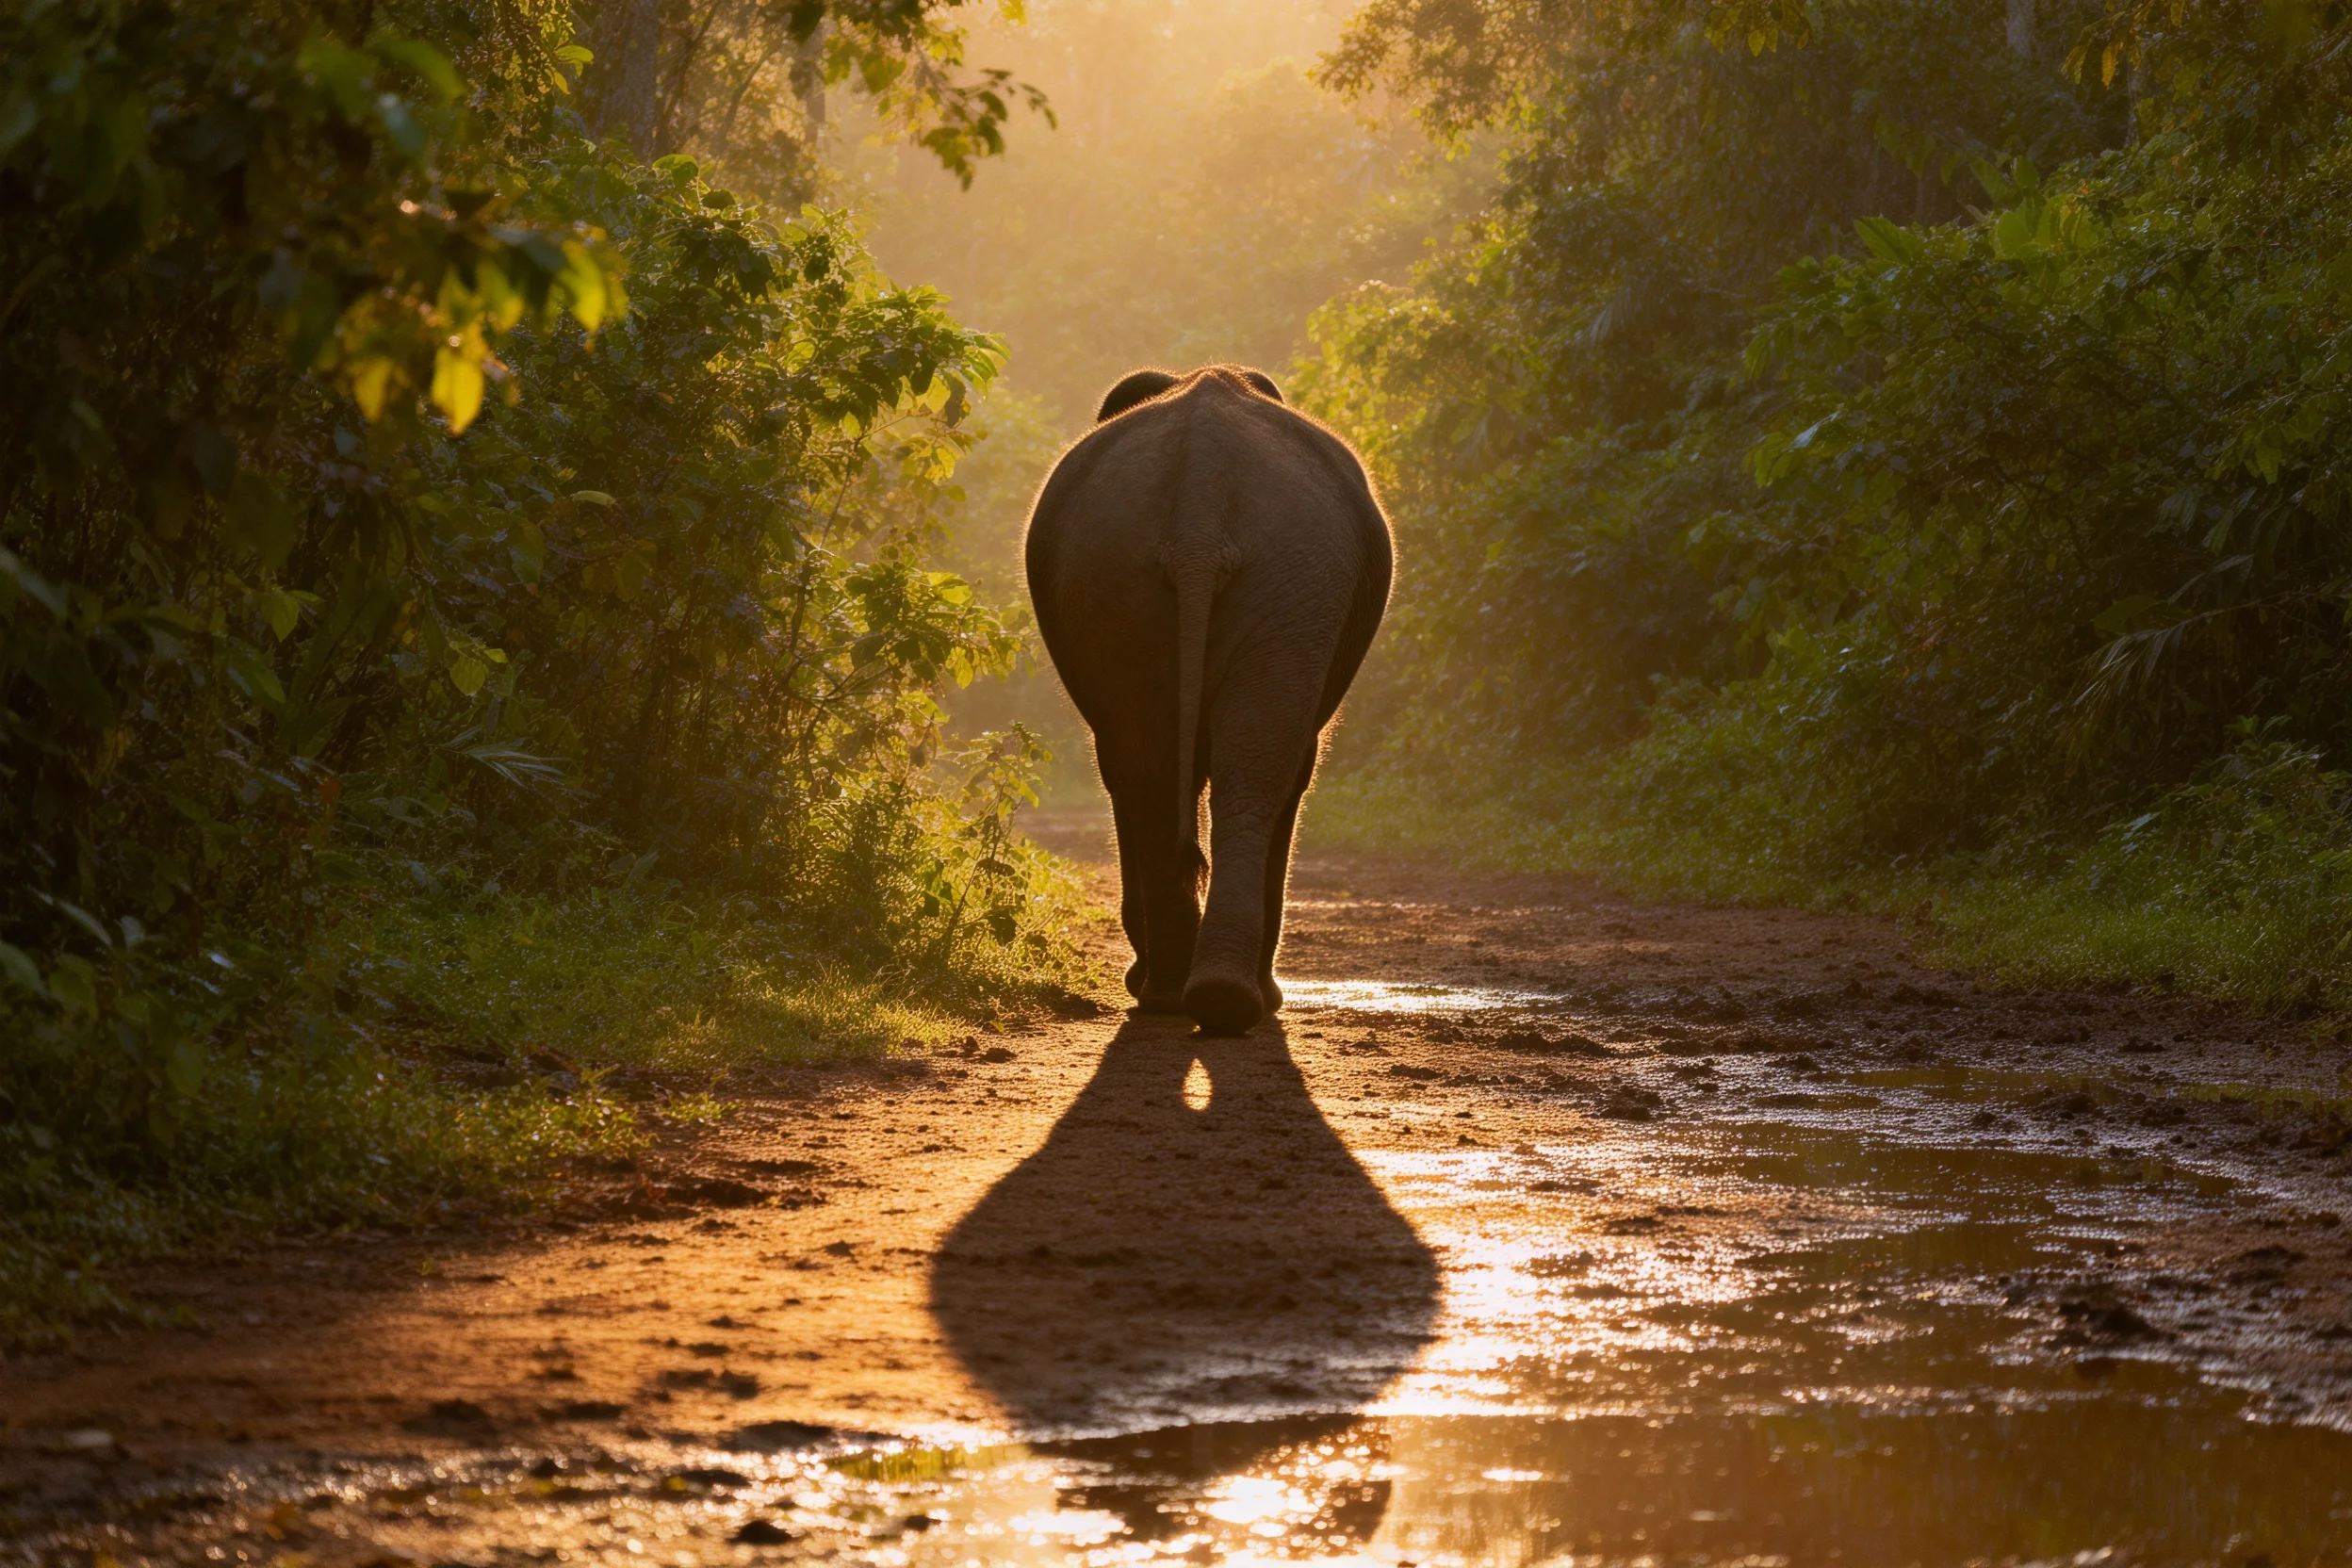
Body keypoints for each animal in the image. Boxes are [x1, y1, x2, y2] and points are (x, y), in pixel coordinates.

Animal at [1024, 364, 1393, 1034]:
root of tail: (1203, 484)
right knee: (1235, 767)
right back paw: (1208, 998)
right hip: (1279, 578)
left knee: (1158, 766)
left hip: (1146, 572)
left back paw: (1195, 996)